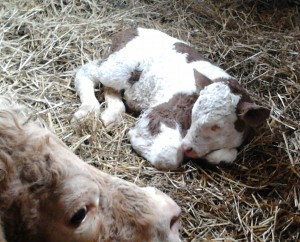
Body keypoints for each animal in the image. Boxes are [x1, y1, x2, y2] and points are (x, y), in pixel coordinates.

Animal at [73, 27, 270, 170]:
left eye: (217, 126)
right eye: (193, 114)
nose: (187, 147)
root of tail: (130, 30)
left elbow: (227, 156)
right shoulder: (164, 110)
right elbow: (168, 155)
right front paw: (135, 136)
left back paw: (111, 114)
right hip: (118, 67)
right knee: (87, 71)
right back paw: (87, 110)